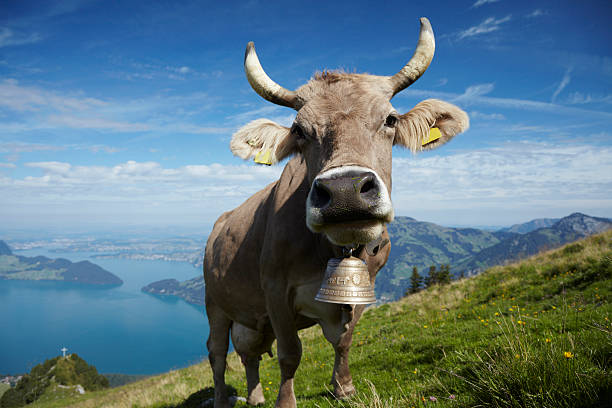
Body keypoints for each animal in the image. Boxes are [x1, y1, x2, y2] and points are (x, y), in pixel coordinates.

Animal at [204, 17, 468, 406]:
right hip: (215, 304)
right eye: (299, 130)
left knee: (249, 353)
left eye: (390, 119)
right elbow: (290, 354)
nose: (345, 192)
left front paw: (344, 387)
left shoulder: (364, 285)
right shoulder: (274, 289)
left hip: (251, 318)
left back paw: (255, 396)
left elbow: (343, 340)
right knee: (218, 354)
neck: (333, 249)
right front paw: (287, 402)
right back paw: (224, 398)